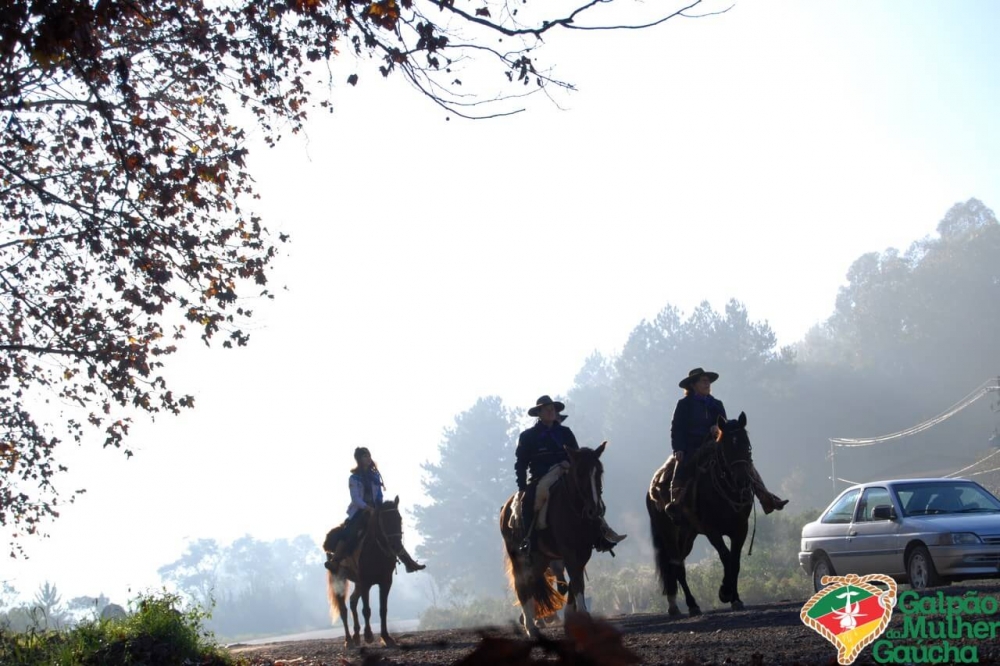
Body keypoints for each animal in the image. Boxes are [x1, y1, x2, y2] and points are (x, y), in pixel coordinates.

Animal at [326, 496, 408, 644]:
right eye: (384, 521)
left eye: (399, 519)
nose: (396, 546)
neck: (375, 550)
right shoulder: (365, 583)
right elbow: (366, 610)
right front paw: (369, 635)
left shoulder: (385, 582)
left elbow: (383, 609)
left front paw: (386, 637)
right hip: (339, 580)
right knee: (343, 609)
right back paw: (349, 640)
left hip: (357, 582)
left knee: (352, 601)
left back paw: (356, 635)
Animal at [500, 440, 608, 632]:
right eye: (579, 472)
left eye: (599, 471)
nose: (595, 510)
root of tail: (505, 509)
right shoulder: (569, 552)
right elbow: (576, 581)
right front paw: (582, 615)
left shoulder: (583, 552)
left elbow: (575, 580)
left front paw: (573, 615)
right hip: (519, 557)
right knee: (522, 585)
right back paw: (530, 626)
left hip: (540, 559)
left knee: (533, 582)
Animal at [644, 412, 752, 616]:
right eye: (727, 446)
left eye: (747, 444)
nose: (743, 481)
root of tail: (651, 490)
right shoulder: (712, 531)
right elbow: (726, 558)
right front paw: (725, 592)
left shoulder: (741, 529)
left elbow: (735, 562)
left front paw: (736, 598)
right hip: (668, 533)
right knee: (677, 566)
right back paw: (690, 605)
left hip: (687, 535)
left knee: (677, 563)